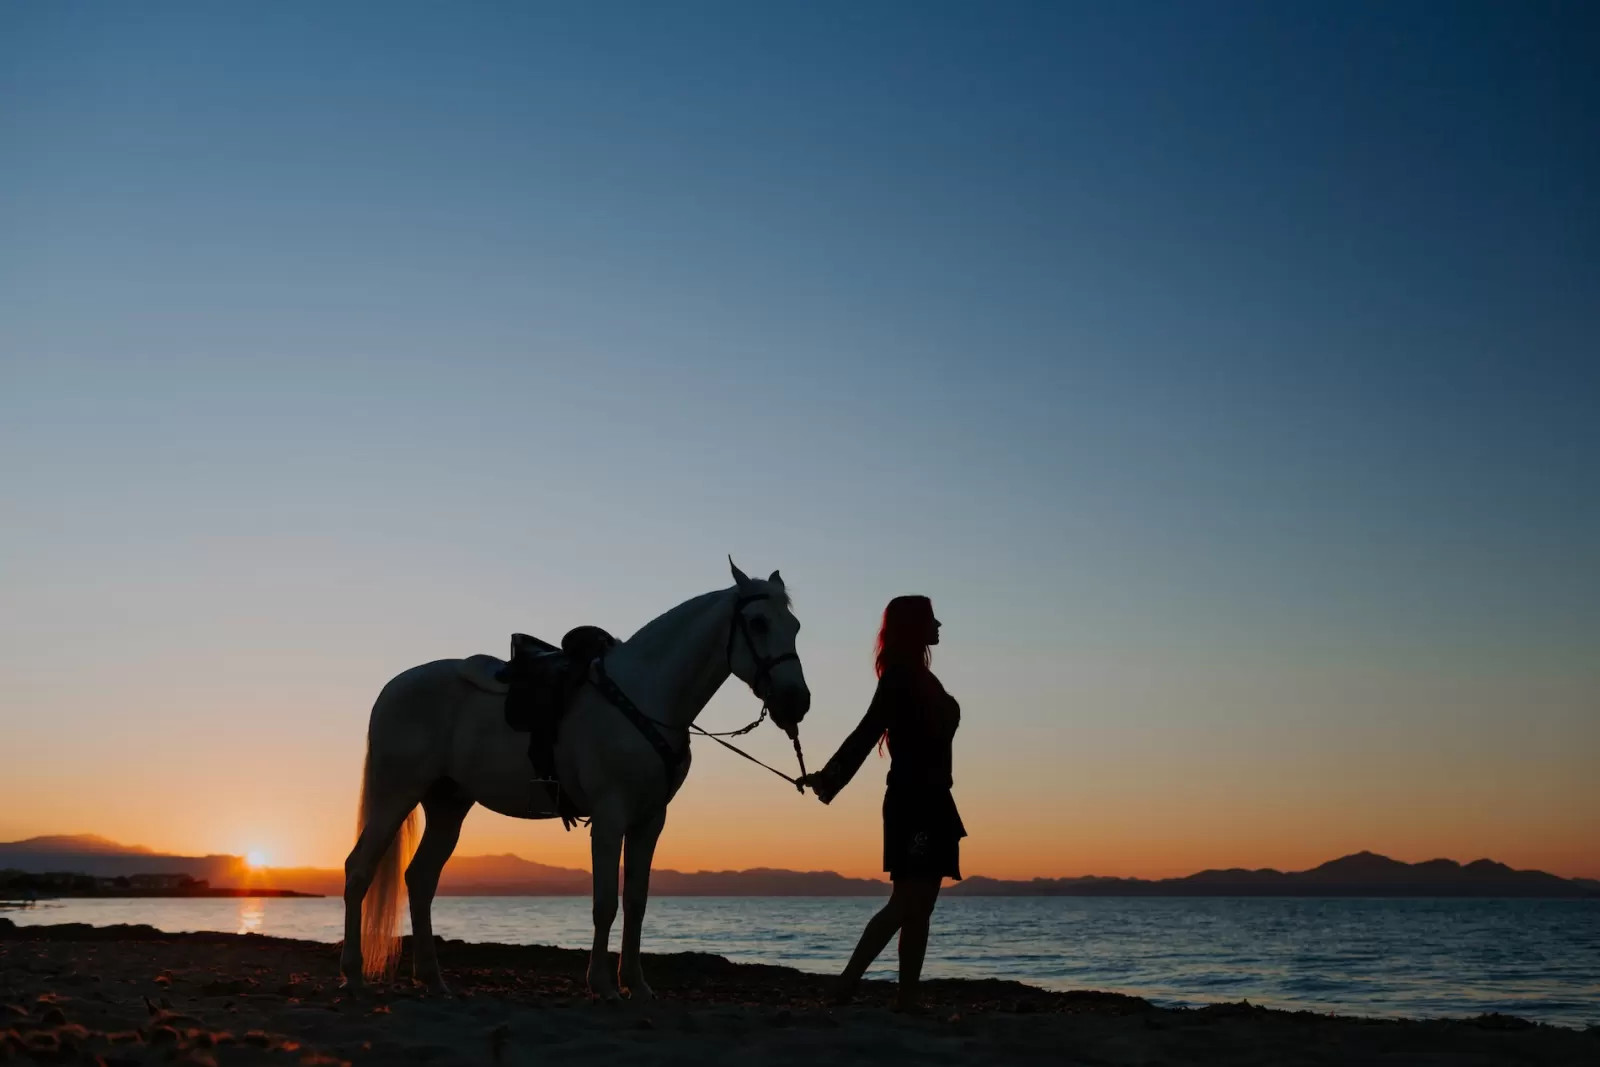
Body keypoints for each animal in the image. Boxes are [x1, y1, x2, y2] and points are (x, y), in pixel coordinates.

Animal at [338, 559, 810, 1000]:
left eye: (795, 626)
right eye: (758, 622)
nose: (797, 701)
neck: (644, 695)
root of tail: (392, 689)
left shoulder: (650, 820)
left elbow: (636, 902)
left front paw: (636, 984)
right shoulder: (609, 816)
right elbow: (605, 904)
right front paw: (602, 984)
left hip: (447, 806)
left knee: (420, 880)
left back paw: (433, 981)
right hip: (395, 795)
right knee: (358, 869)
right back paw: (353, 976)